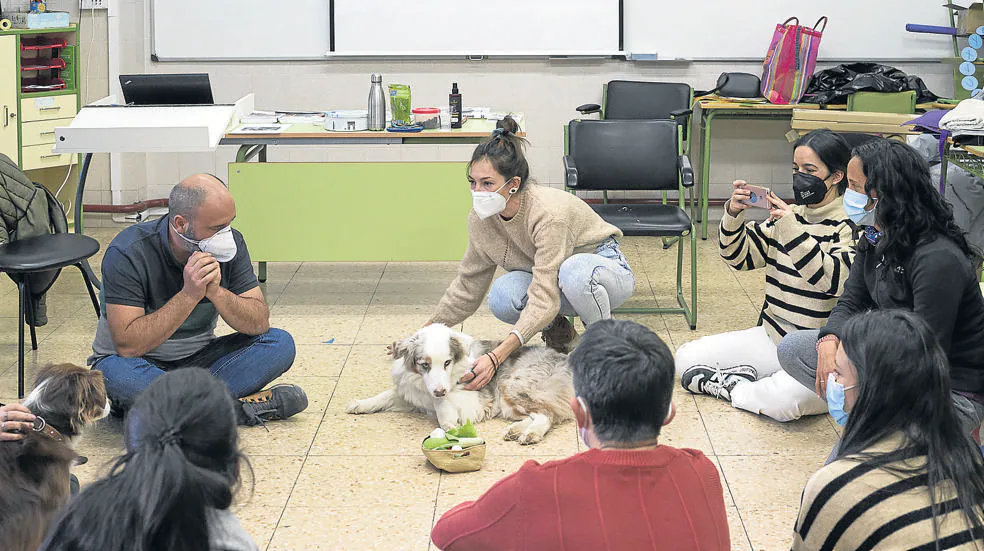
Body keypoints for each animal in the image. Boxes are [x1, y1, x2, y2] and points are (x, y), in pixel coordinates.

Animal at [348, 324, 572, 444]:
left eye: (447, 362)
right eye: (425, 364)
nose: (439, 391)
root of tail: (566, 360)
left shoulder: (474, 399)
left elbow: (442, 404)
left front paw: (448, 422)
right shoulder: (412, 392)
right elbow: (385, 395)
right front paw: (360, 404)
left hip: (510, 385)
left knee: (548, 414)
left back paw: (531, 434)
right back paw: (515, 430)